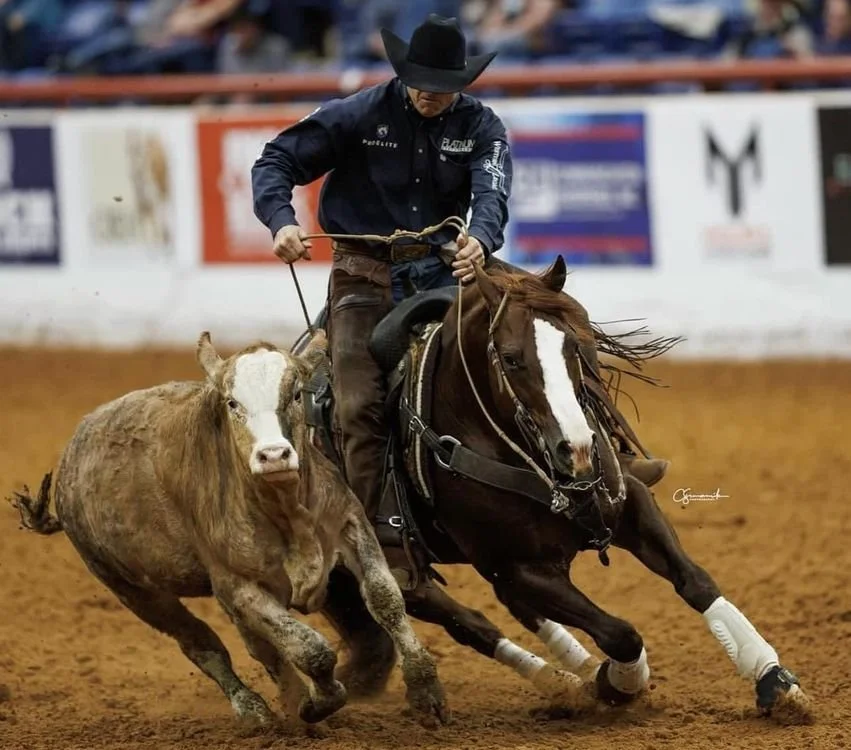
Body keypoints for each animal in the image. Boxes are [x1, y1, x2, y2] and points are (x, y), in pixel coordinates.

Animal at [12, 330, 449, 729]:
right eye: (232, 402)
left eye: (295, 394)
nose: (274, 455)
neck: (285, 510)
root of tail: (72, 455)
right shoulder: (235, 585)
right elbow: (311, 649)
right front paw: (318, 703)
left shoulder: (351, 525)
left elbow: (385, 599)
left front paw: (426, 690)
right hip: (132, 589)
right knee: (203, 646)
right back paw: (256, 711)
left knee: (262, 649)